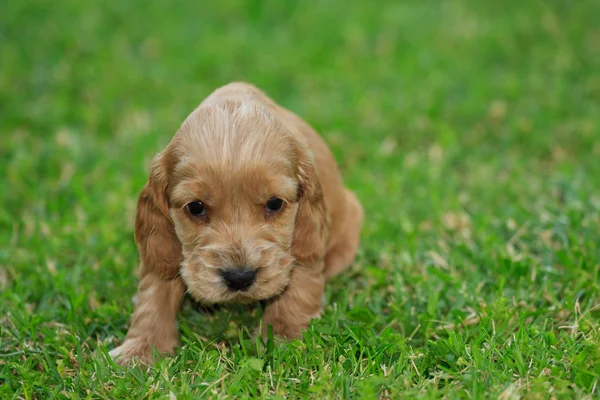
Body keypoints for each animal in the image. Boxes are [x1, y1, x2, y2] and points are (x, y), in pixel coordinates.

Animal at [109, 82, 364, 366]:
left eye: (274, 203)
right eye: (196, 207)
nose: (240, 278)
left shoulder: (305, 243)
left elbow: (299, 286)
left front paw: (283, 338)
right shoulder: (163, 247)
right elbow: (154, 292)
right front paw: (140, 349)